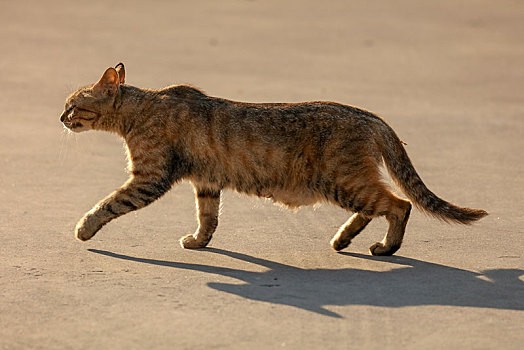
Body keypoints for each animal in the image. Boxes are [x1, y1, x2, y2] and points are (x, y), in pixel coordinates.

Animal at [60, 63, 488, 254]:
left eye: (72, 105)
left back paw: (386, 247)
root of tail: (371, 116)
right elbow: (208, 218)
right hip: (350, 183)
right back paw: (344, 239)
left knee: (399, 205)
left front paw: (84, 228)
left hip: (344, 181)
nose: (59, 117)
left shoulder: (149, 178)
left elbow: (108, 204)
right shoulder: (206, 182)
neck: (142, 108)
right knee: (376, 207)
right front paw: (199, 241)